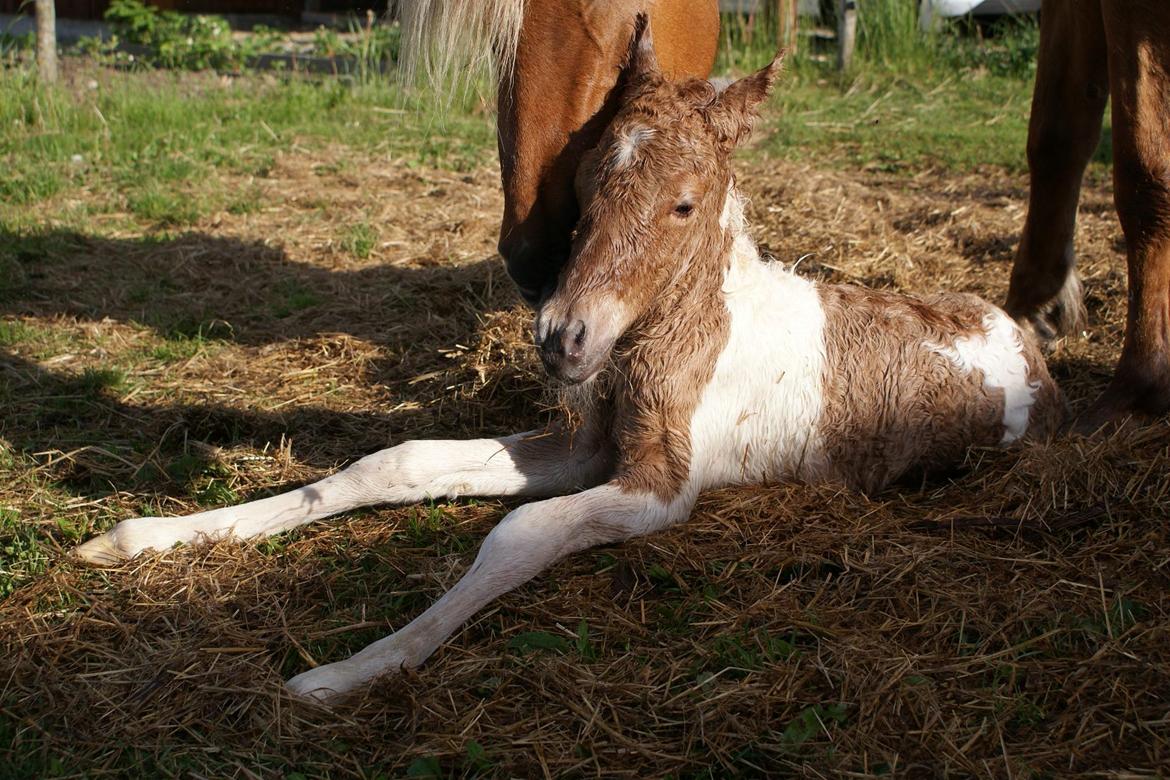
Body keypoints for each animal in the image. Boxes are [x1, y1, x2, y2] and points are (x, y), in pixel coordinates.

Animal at [70, 35, 1062, 701]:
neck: (682, 336)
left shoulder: (663, 487)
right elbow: (392, 463)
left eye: (683, 204)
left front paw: (351, 670)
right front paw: (142, 538)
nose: (562, 337)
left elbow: (519, 534)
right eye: (585, 185)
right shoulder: (588, 446)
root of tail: (1026, 344)